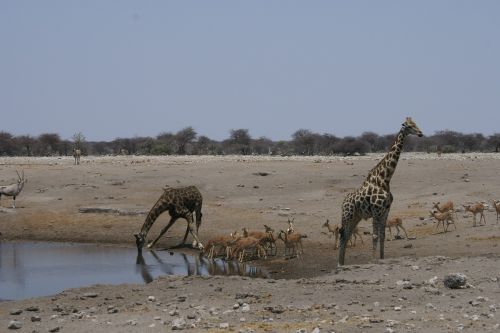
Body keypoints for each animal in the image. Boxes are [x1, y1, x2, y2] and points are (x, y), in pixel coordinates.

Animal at [336, 116, 422, 264]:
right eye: (409, 126)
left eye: (415, 123)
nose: (420, 133)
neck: (384, 179)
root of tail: (343, 202)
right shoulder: (376, 210)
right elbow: (375, 236)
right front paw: (373, 260)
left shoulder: (386, 210)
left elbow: (382, 235)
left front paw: (382, 258)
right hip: (347, 215)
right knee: (343, 235)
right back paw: (339, 264)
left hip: (356, 217)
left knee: (347, 235)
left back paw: (342, 263)